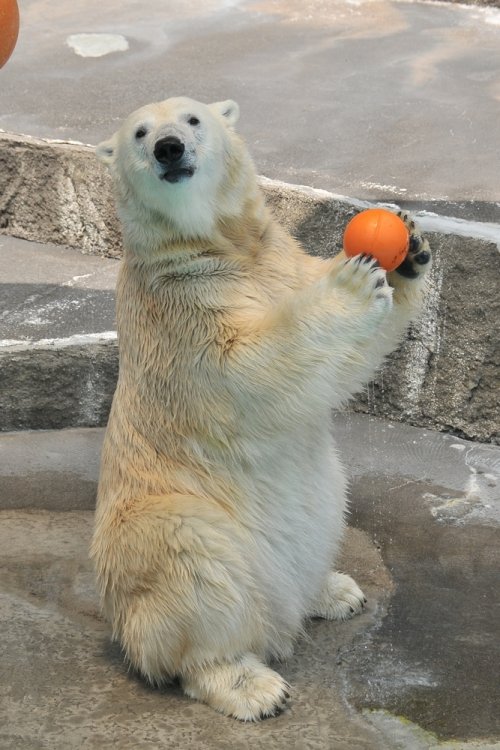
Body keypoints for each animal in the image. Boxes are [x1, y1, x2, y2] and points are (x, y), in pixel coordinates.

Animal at [91, 95, 434, 724]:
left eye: (193, 119)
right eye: (140, 133)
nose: (169, 149)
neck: (222, 245)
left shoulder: (279, 260)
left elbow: (346, 362)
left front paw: (409, 252)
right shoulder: (179, 306)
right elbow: (246, 368)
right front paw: (351, 282)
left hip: (323, 494)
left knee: (327, 509)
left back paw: (334, 591)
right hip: (162, 525)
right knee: (192, 566)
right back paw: (250, 683)